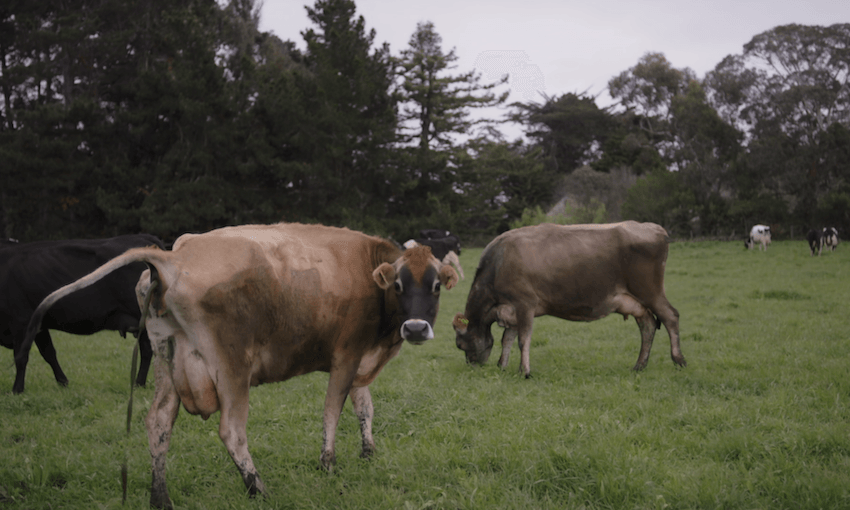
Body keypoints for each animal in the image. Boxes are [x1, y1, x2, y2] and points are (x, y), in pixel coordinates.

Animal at [2, 234, 163, 394]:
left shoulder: (21, 322)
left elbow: (21, 356)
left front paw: (17, 389)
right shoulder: (39, 326)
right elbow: (49, 353)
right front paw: (63, 382)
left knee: (148, 350)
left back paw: (139, 383)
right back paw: (140, 384)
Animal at [22, 223, 459, 509]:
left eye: (436, 286)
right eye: (398, 285)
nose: (415, 327)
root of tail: (173, 255)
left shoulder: (362, 356)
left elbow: (364, 406)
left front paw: (368, 451)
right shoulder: (346, 354)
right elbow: (332, 411)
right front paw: (328, 464)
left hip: (167, 358)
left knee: (158, 424)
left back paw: (160, 497)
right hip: (232, 369)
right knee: (231, 431)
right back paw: (259, 489)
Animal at [452, 221, 685, 379]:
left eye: (460, 345)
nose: (472, 365)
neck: (498, 264)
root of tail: (654, 228)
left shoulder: (524, 303)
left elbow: (522, 340)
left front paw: (525, 371)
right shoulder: (510, 310)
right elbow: (506, 339)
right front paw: (503, 365)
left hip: (651, 291)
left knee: (670, 316)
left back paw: (679, 360)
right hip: (635, 301)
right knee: (648, 325)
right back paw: (639, 365)